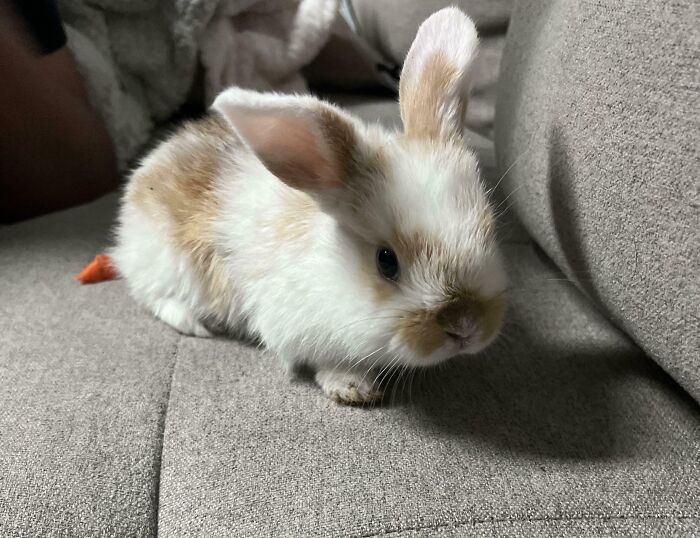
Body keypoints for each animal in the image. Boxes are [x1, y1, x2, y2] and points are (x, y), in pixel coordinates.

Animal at [111, 7, 508, 405]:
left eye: (491, 231)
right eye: (386, 262)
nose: (466, 327)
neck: (327, 263)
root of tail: (147, 169)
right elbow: (327, 361)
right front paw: (352, 385)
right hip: (164, 262)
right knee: (148, 294)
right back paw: (194, 324)